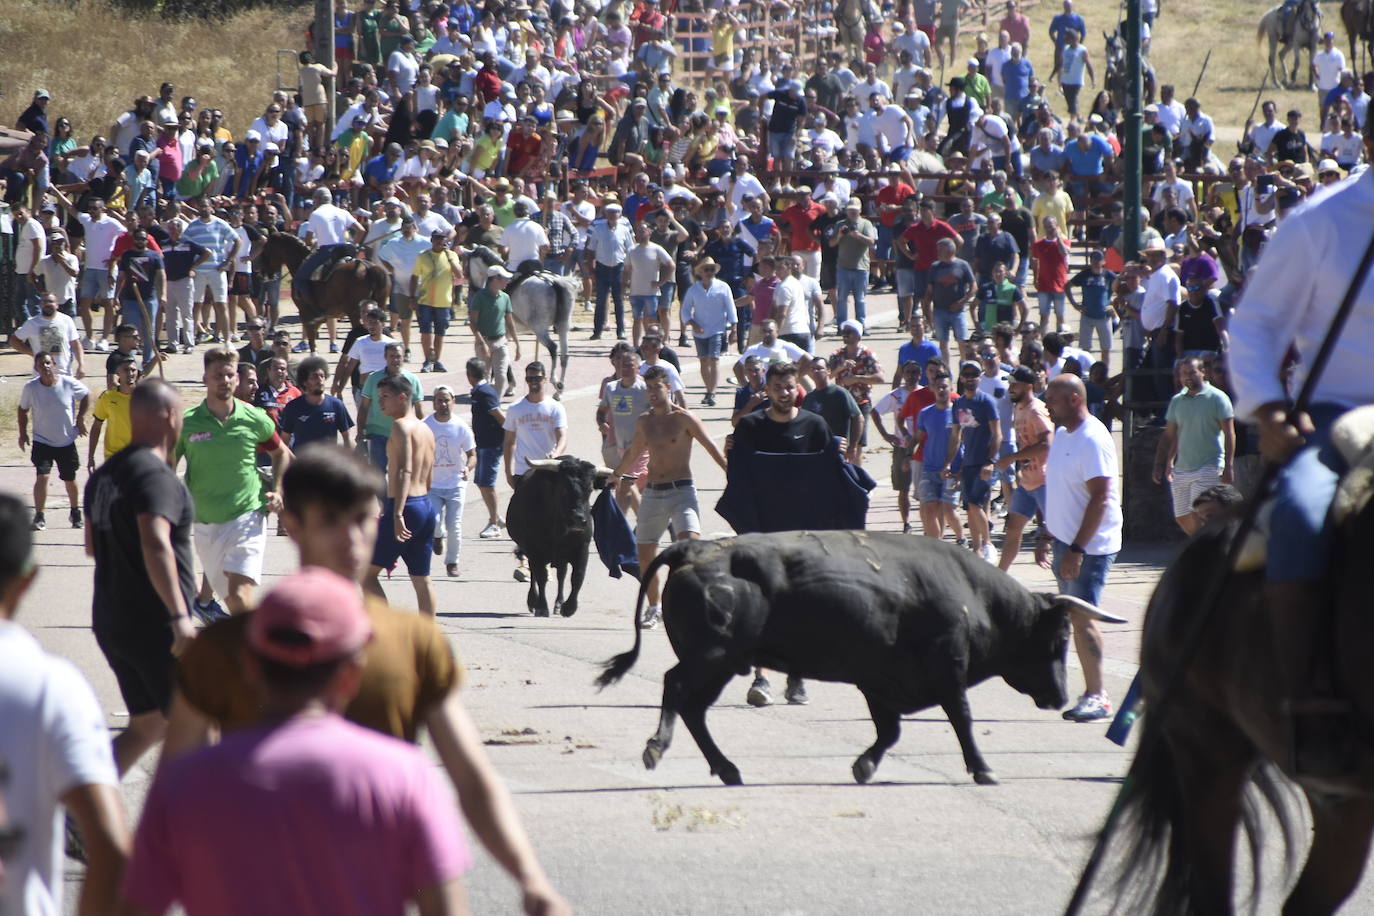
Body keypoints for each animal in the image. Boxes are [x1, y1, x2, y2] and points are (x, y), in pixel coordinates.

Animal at [254, 230, 390, 354]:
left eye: (266, 248)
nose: (260, 270)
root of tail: (368, 267)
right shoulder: (322, 315)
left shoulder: (305, 313)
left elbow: (311, 339)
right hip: (378, 308)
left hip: (354, 313)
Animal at [464, 247, 577, 395]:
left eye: (465, 266)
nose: (470, 291)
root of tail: (553, 282)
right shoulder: (506, 333)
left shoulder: (504, 332)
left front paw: (509, 385)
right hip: (563, 326)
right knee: (565, 355)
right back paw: (559, 390)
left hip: (539, 329)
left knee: (553, 348)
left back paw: (554, 380)